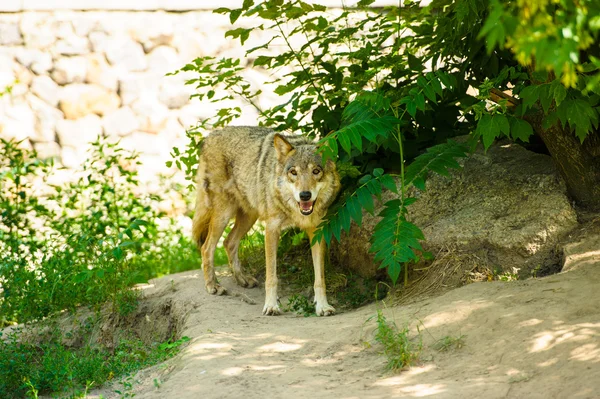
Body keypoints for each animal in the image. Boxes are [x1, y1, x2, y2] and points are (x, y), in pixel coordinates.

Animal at [193, 126, 342, 318]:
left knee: (229, 242)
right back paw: (213, 285)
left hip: (249, 216)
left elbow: (320, 278)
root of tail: (210, 136)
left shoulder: (316, 231)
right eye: (293, 172)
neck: (295, 211)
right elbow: (271, 276)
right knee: (207, 248)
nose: (305, 195)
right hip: (223, 214)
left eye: (316, 171)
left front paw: (323, 306)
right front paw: (271, 306)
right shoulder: (271, 230)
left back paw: (242, 279)